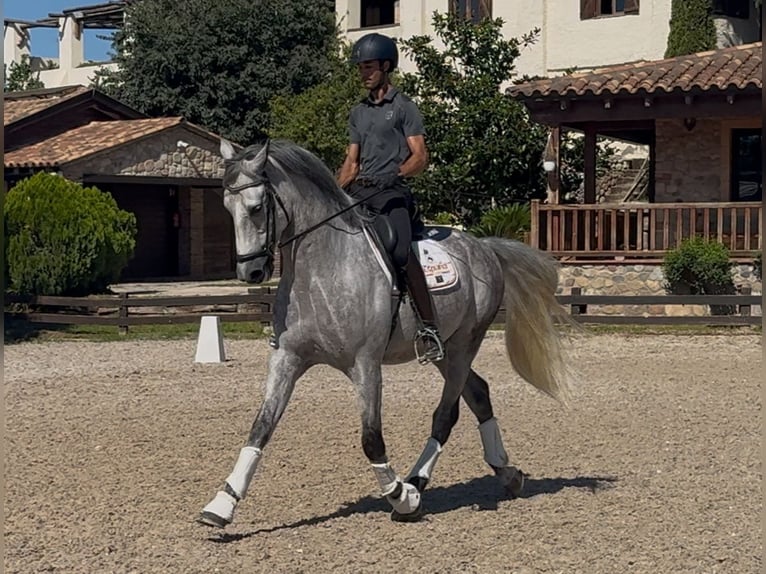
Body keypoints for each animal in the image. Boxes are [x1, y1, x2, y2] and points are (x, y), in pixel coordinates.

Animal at [197, 138, 573, 528]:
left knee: (446, 413)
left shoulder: (365, 364)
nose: (251, 273)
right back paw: (507, 473)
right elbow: (261, 426)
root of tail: (484, 247)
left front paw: (401, 497)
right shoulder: (287, 357)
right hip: (443, 350)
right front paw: (221, 505)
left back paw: (417, 483)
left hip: (463, 344)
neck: (321, 270)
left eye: (256, 208)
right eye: (227, 207)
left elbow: (371, 439)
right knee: (478, 393)